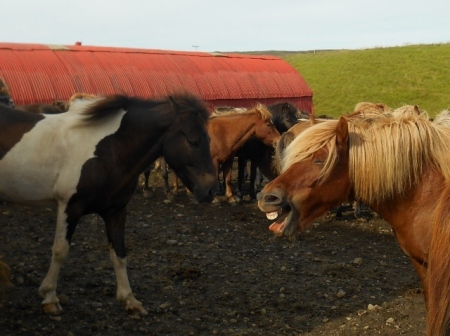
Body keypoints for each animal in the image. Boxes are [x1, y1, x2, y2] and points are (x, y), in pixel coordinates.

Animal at [0, 91, 218, 316]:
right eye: (193, 141)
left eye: (208, 139)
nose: (211, 189)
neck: (109, 149)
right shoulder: (70, 207)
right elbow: (60, 250)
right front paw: (50, 297)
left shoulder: (116, 211)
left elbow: (119, 254)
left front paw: (129, 299)